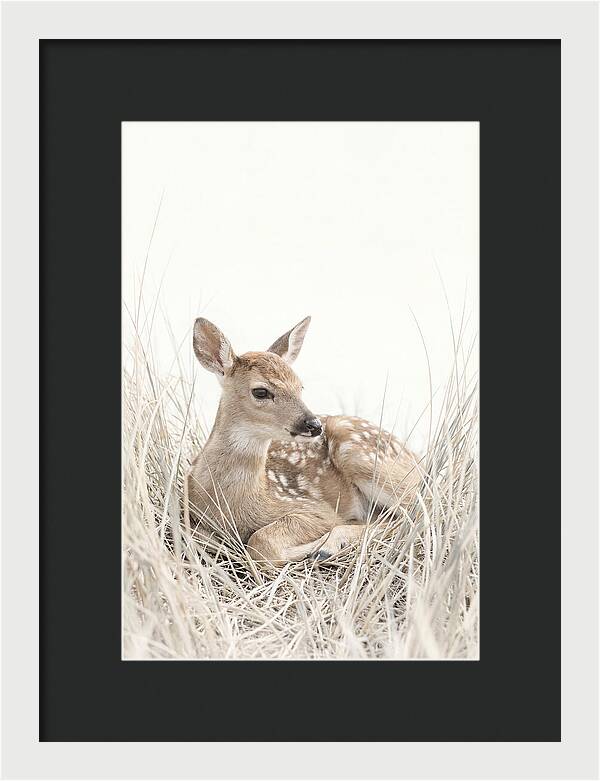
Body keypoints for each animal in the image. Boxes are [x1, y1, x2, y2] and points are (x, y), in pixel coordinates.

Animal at [185, 316, 421, 565]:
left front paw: (312, 548)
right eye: (260, 392)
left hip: (361, 455)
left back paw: (328, 547)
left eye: (300, 386)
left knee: (415, 512)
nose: (314, 424)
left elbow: (261, 543)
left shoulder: (315, 509)